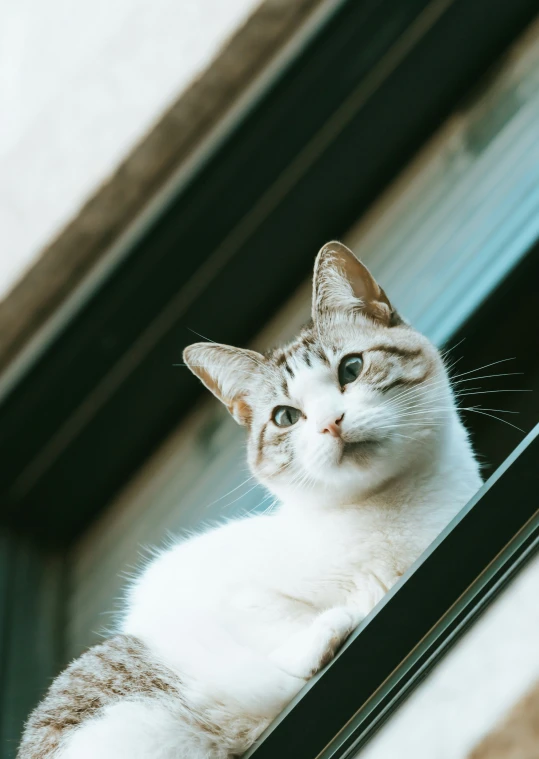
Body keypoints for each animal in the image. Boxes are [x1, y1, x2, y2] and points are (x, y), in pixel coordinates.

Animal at [17, 242, 480, 759]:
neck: (391, 512)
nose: (330, 422)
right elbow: (279, 625)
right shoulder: (202, 588)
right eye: (285, 417)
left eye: (352, 369)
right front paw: (334, 621)